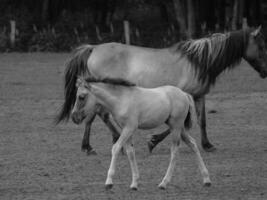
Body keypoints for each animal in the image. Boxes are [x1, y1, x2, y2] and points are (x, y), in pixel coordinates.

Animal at [55, 26, 267, 154]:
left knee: (101, 115)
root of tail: (94, 48)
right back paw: (89, 146)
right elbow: (181, 124)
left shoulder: (199, 96)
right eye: (261, 46)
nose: (265, 72)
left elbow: (202, 121)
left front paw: (208, 145)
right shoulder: (184, 97)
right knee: (94, 115)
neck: (197, 61)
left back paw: (114, 139)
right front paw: (153, 141)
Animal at [73, 77, 211, 190]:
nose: (74, 117)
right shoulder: (125, 129)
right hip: (178, 127)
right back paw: (206, 180)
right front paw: (134, 184)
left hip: (176, 127)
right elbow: (130, 152)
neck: (121, 99)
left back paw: (164, 183)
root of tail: (184, 94)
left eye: (81, 97)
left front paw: (109, 182)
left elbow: (116, 148)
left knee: (174, 151)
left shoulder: (130, 128)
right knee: (193, 144)